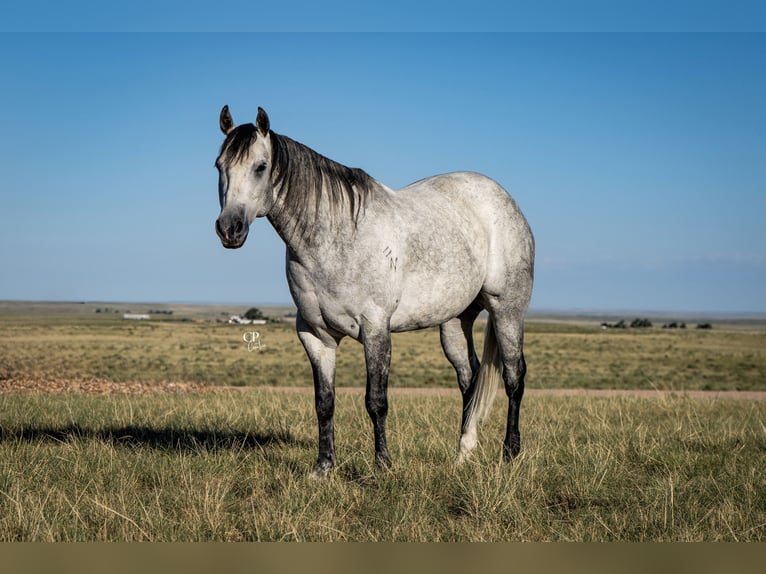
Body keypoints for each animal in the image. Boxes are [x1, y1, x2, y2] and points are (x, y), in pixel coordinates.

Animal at [214, 106, 534, 477]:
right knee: (469, 379)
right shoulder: (315, 335)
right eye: (219, 166)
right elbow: (324, 402)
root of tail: (504, 200)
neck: (335, 238)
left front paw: (382, 465)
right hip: (455, 322)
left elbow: (376, 400)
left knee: (514, 376)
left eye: (260, 166)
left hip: (507, 309)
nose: (229, 229)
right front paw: (323, 467)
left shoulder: (375, 328)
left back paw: (510, 454)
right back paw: (464, 454)